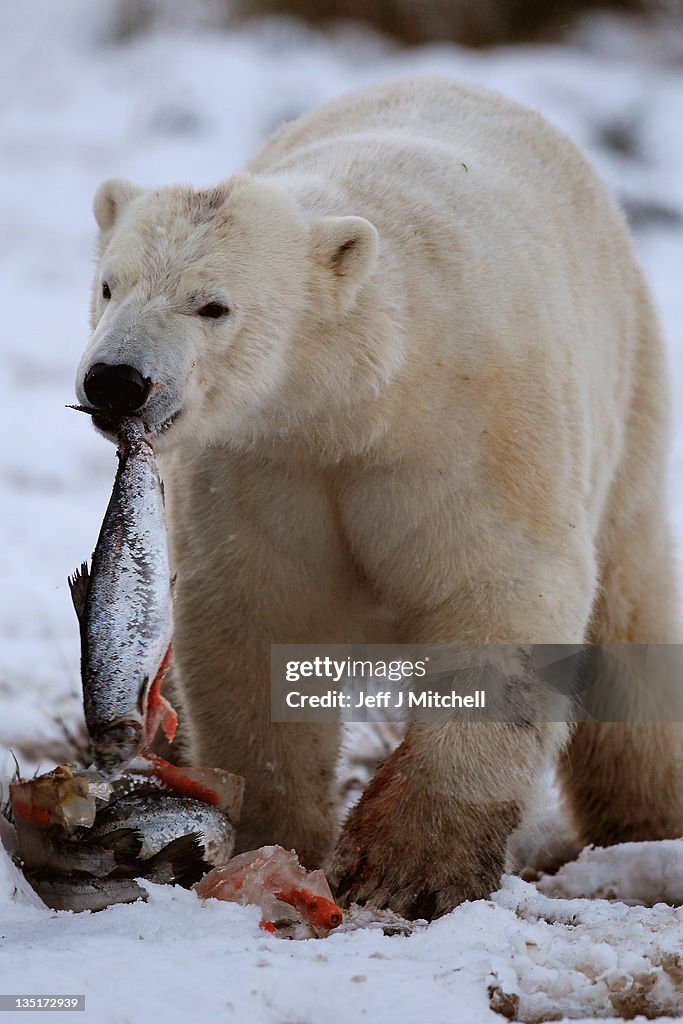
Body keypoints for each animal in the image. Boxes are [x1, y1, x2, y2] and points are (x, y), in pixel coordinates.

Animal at [74, 75, 683, 917]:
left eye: (212, 304)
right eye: (110, 284)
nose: (116, 380)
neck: (363, 396)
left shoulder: (471, 435)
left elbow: (499, 597)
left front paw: (408, 870)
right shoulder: (267, 465)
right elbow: (257, 618)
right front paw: (274, 842)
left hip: (629, 391)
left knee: (629, 615)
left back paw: (646, 825)